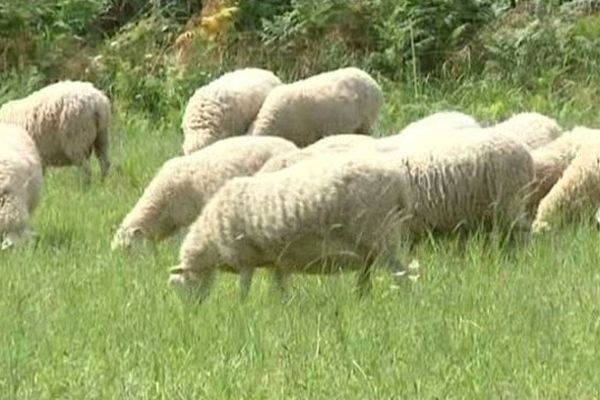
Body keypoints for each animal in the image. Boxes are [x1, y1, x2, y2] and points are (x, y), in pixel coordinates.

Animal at [169, 153, 412, 304]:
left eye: (182, 286)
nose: (193, 311)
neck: (210, 240)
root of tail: (399, 182)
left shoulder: (245, 257)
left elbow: (244, 289)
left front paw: (242, 308)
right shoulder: (278, 262)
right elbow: (280, 289)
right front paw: (283, 307)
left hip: (380, 233)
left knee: (403, 274)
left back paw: (408, 300)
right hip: (370, 245)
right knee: (367, 279)